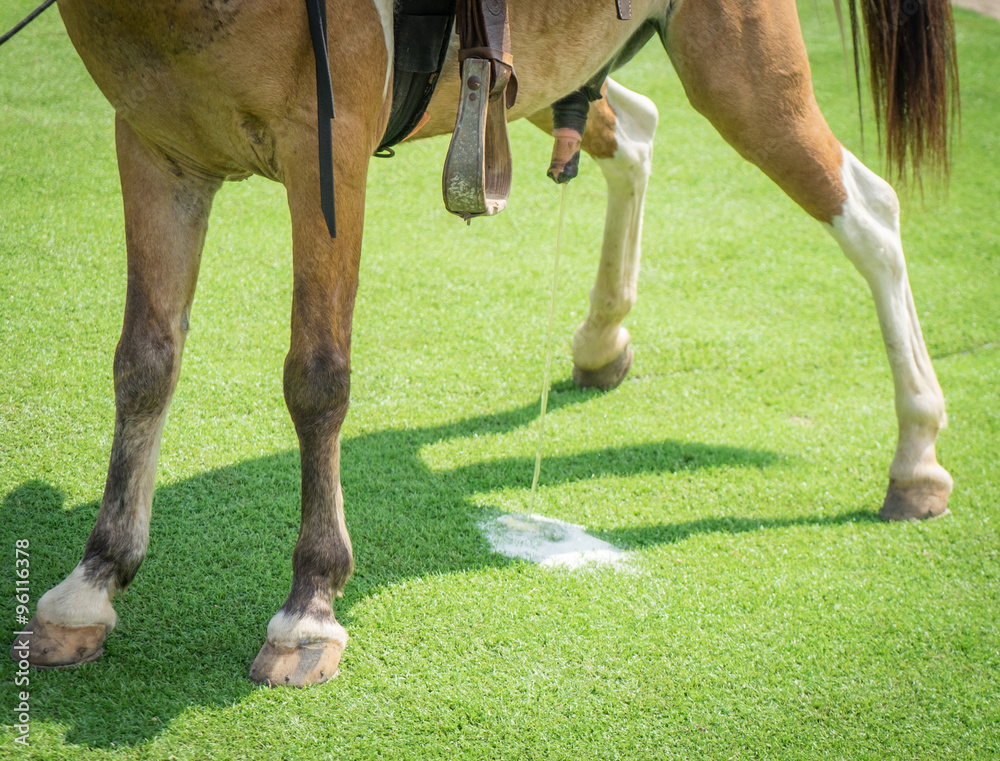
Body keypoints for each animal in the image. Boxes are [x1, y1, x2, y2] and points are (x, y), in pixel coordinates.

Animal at [12, 0, 958, 687]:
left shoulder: (328, 148)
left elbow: (317, 375)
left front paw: (309, 605)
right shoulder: (154, 144)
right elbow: (145, 362)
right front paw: (91, 584)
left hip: (740, 63)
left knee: (869, 211)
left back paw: (916, 454)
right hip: (548, 74)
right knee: (636, 131)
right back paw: (601, 338)